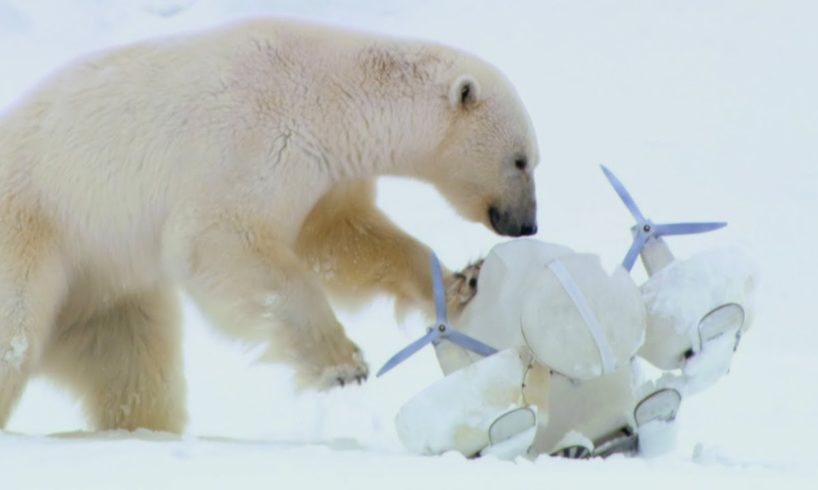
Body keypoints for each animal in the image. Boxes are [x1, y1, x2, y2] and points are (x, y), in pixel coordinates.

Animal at [0, 18, 540, 432]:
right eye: (520, 160)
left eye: (534, 159)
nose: (528, 225)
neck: (332, 94)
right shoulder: (250, 142)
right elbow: (222, 241)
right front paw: (344, 365)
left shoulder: (324, 174)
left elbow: (342, 237)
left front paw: (461, 280)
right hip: (34, 226)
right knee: (17, 331)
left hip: (100, 284)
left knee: (130, 356)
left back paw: (141, 429)